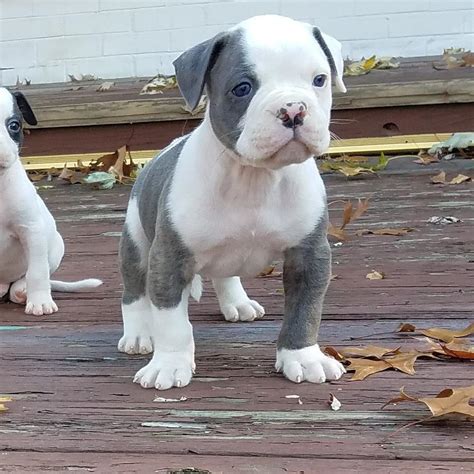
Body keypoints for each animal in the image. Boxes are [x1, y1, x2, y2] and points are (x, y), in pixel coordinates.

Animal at [0, 86, 103, 314]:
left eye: (14, 125)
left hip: (56, 246)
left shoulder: (32, 230)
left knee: (30, 276)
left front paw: (40, 301)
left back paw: (21, 290)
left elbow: (38, 271)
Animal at [118, 16, 346, 390]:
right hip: (136, 240)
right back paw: (137, 335)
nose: (294, 109)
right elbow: (171, 320)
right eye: (242, 88)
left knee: (225, 274)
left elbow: (305, 310)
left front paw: (303, 356)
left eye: (319, 80)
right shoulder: (169, 257)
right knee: (135, 290)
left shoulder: (309, 255)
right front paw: (169, 364)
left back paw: (237, 303)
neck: (255, 177)